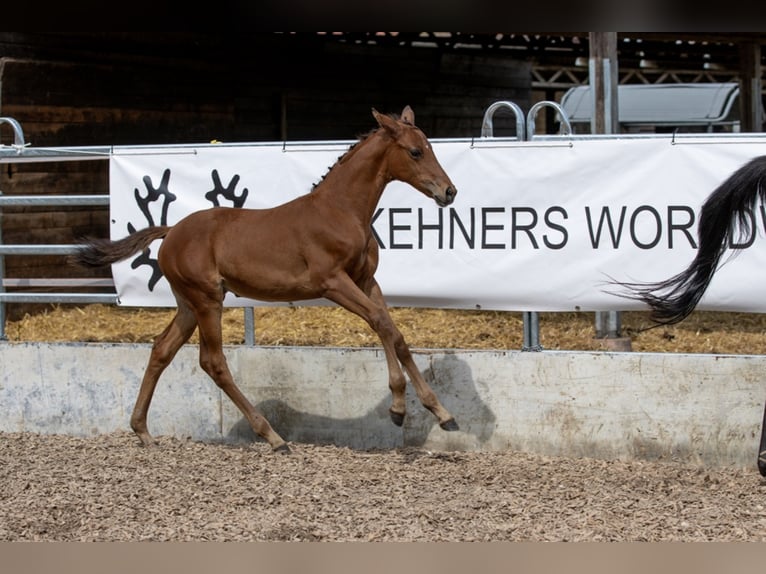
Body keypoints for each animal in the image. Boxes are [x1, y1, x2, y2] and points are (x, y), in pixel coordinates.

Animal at [75, 104, 462, 454]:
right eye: (415, 152)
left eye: (430, 147)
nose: (449, 192)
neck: (340, 211)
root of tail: (171, 232)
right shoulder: (333, 283)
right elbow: (382, 323)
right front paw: (398, 407)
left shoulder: (367, 281)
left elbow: (395, 333)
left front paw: (441, 413)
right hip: (207, 300)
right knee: (213, 362)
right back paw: (273, 437)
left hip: (188, 304)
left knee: (161, 349)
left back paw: (142, 430)